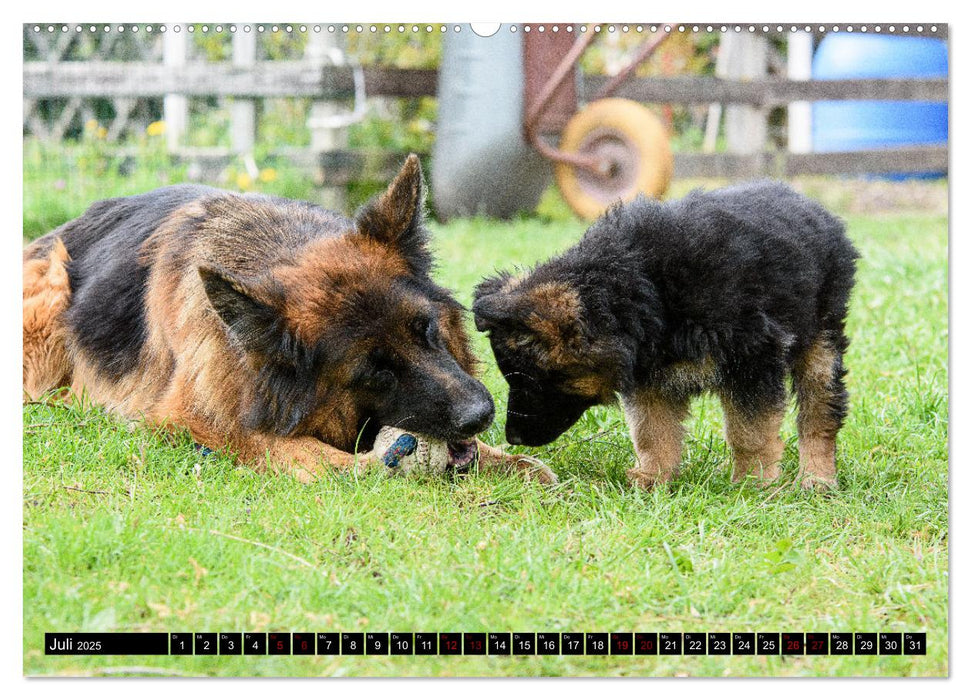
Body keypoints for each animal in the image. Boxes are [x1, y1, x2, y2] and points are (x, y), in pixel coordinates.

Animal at [22, 155, 556, 482]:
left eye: (425, 330)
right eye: (374, 370)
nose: (482, 414)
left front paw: (510, 462)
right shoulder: (191, 420)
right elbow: (301, 452)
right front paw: (366, 467)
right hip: (50, 296)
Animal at [470, 186, 860, 492]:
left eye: (533, 383)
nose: (513, 439)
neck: (642, 290)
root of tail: (814, 208)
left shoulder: (753, 360)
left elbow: (749, 431)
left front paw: (752, 484)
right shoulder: (649, 378)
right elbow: (652, 432)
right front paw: (652, 479)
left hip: (821, 342)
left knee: (820, 414)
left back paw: (816, 479)